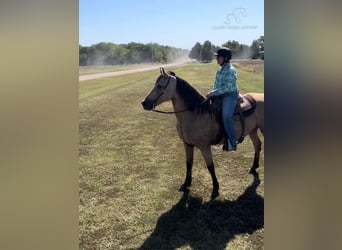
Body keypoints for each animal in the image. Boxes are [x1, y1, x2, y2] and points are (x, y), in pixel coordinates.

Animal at [140, 67, 264, 198]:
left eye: (159, 86)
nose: (144, 102)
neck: (195, 115)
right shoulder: (187, 144)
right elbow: (189, 163)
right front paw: (186, 184)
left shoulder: (205, 147)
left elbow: (210, 167)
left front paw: (215, 188)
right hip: (253, 130)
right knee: (257, 145)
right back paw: (253, 167)